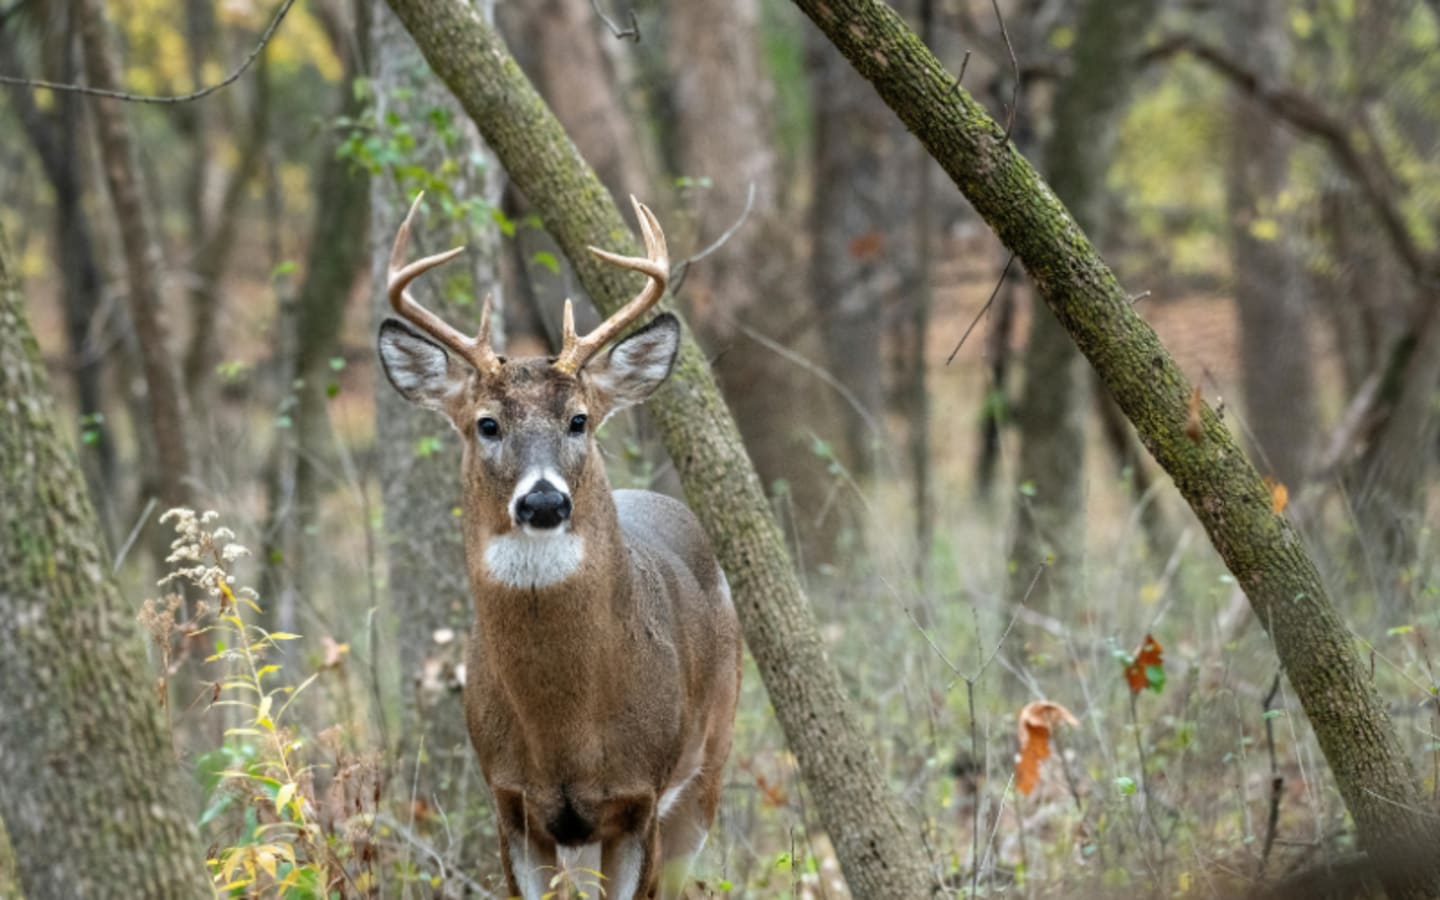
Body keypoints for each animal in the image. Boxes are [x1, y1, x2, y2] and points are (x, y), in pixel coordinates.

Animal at [376, 194, 742, 900]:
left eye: (578, 419)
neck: (564, 731)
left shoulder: (638, 798)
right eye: (487, 424)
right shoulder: (512, 802)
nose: (543, 501)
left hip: (708, 764)